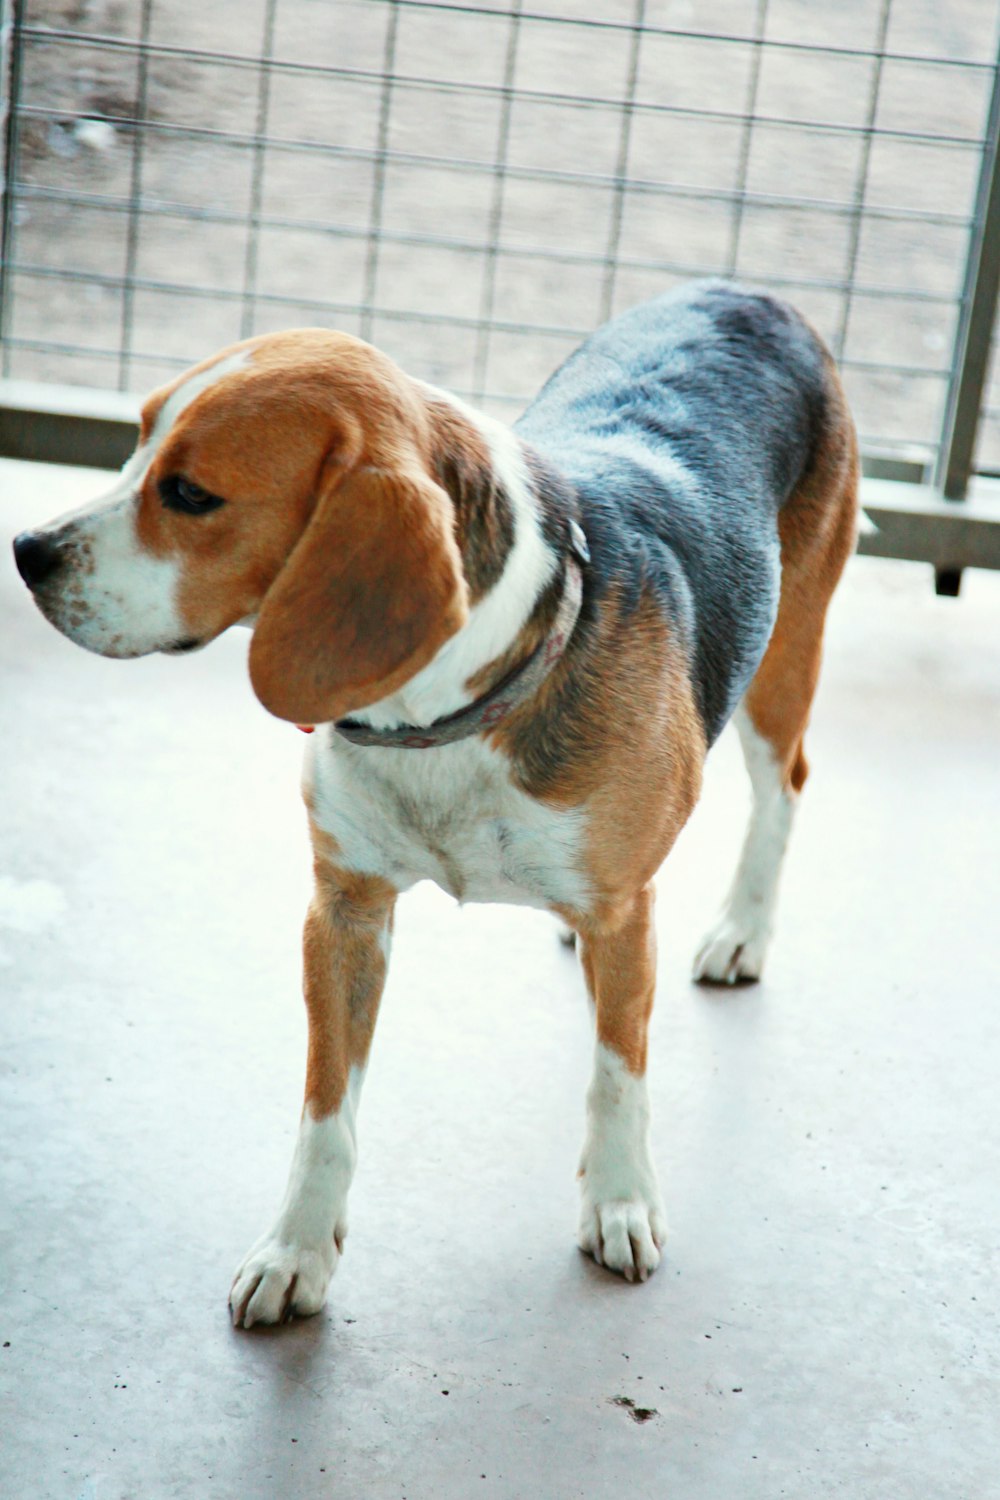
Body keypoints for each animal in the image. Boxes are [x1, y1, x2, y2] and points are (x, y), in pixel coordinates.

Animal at [13, 279, 863, 1326]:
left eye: (191, 494)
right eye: (134, 443)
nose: (26, 550)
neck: (445, 717)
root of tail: (750, 292)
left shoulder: (625, 915)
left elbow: (618, 1076)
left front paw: (621, 1201)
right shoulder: (344, 911)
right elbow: (325, 1110)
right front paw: (297, 1249)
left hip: (783, 661)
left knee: (783, 790)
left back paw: (742, 930)